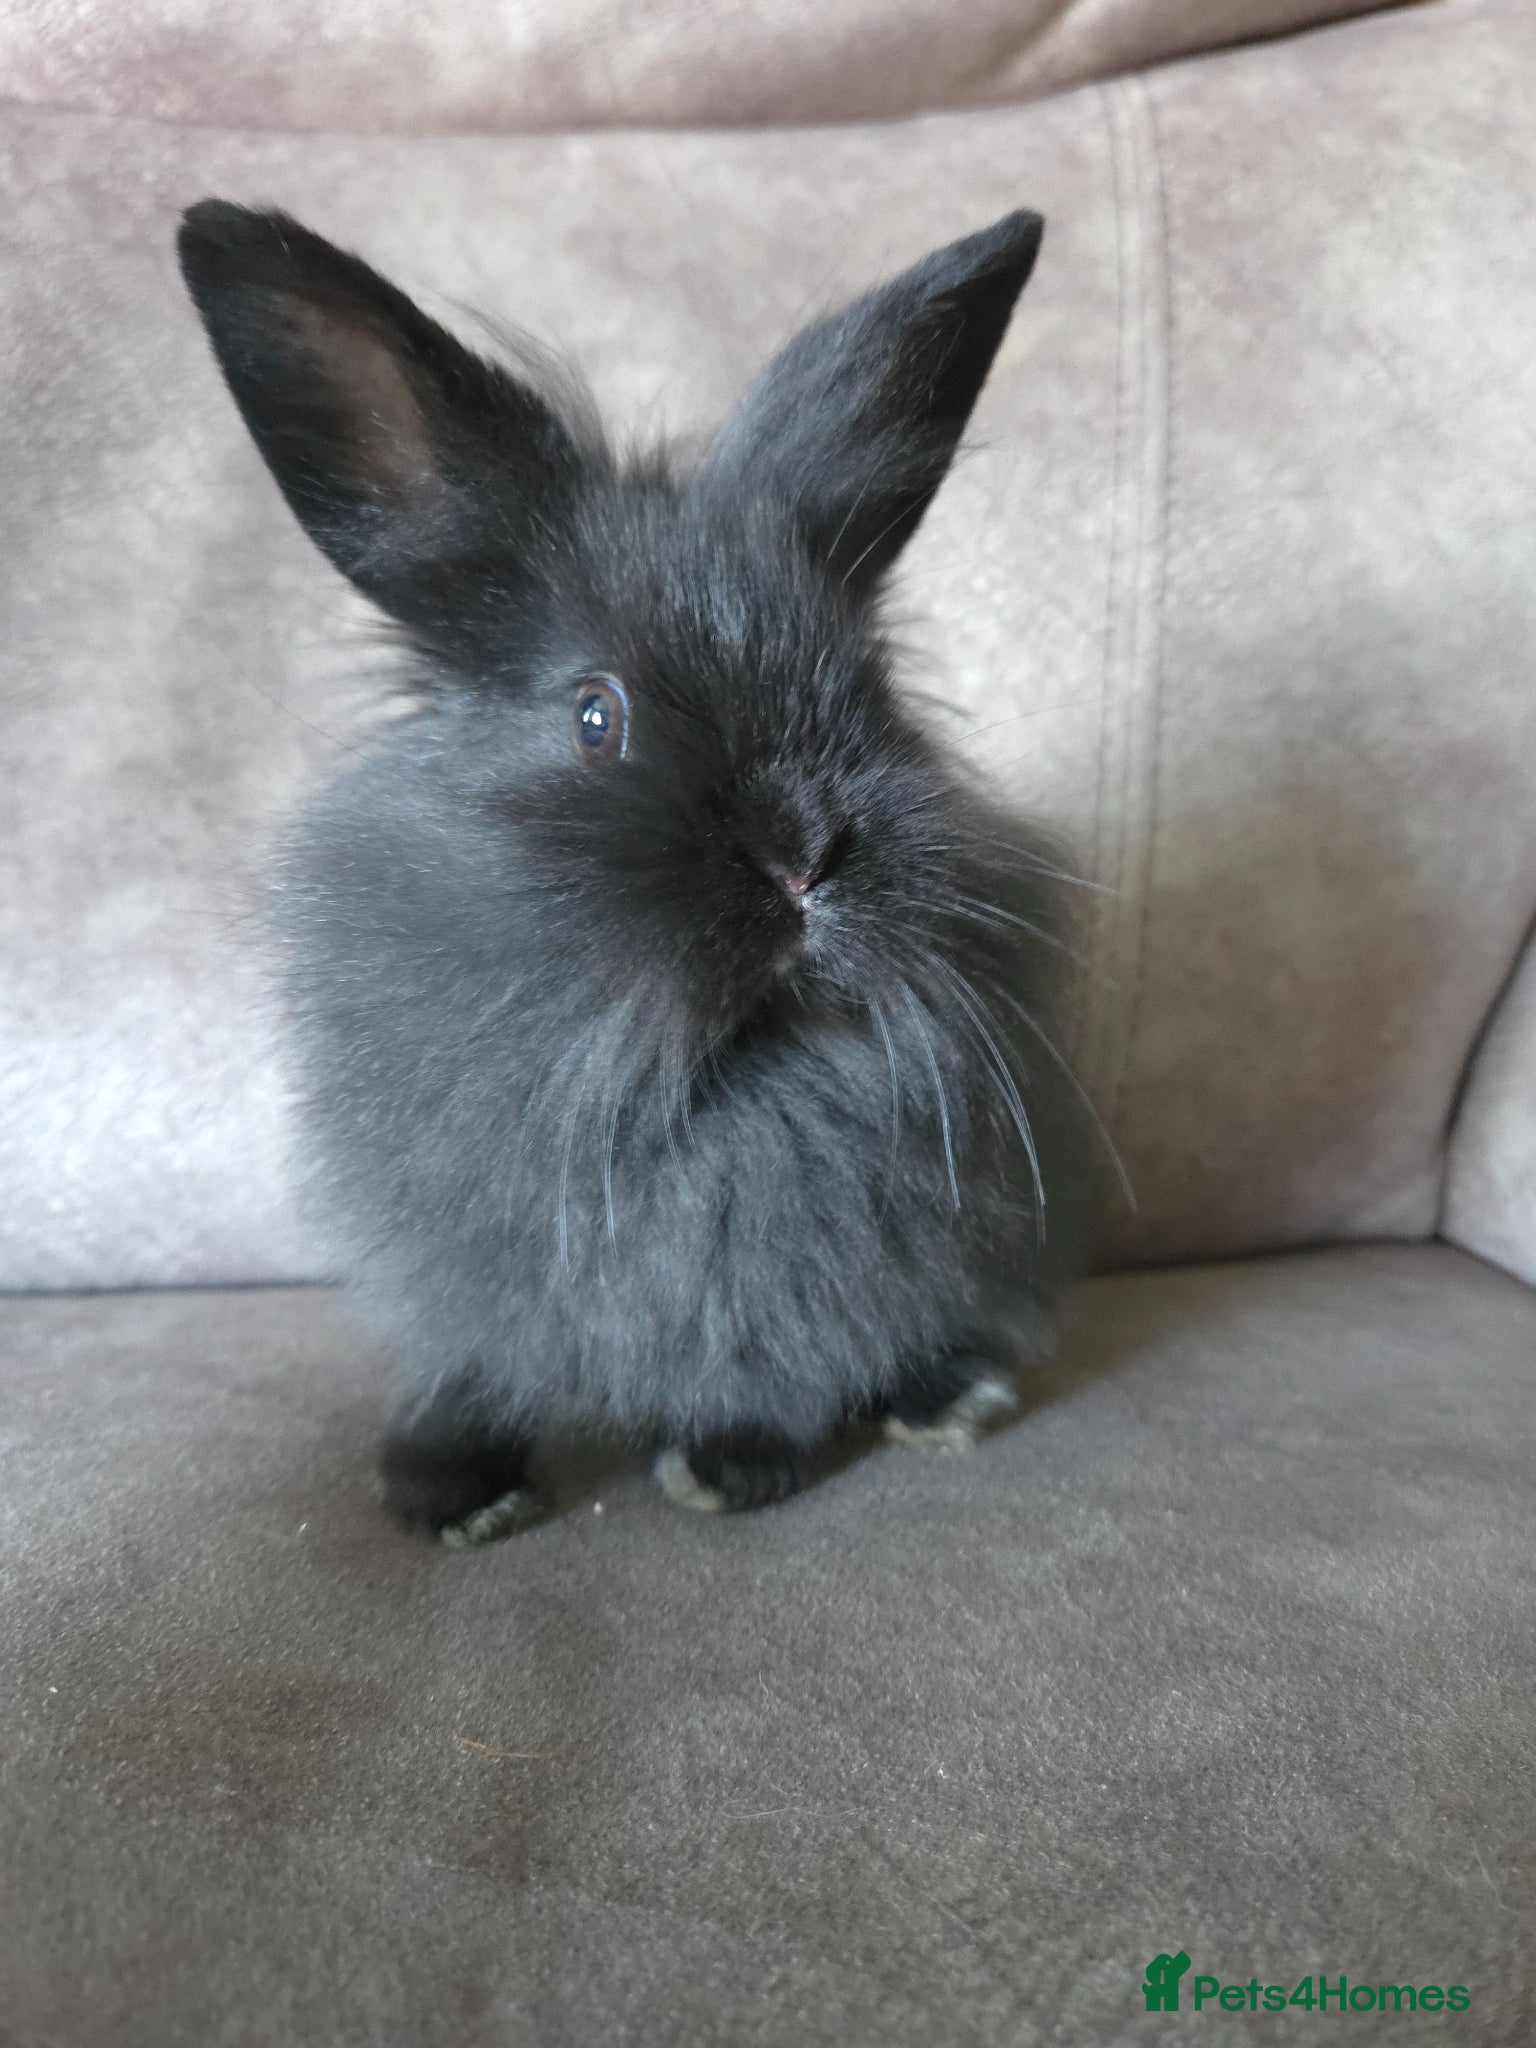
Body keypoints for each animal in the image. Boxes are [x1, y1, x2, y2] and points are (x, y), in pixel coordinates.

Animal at [177, 198, 1097, 1543]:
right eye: (595, 716)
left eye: (868, 693)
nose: (801, 855)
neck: (710, 1072)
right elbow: (473, 1363)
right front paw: (442, 1491)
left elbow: (771, 1360)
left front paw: (730, 1465)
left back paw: (949, 1398)